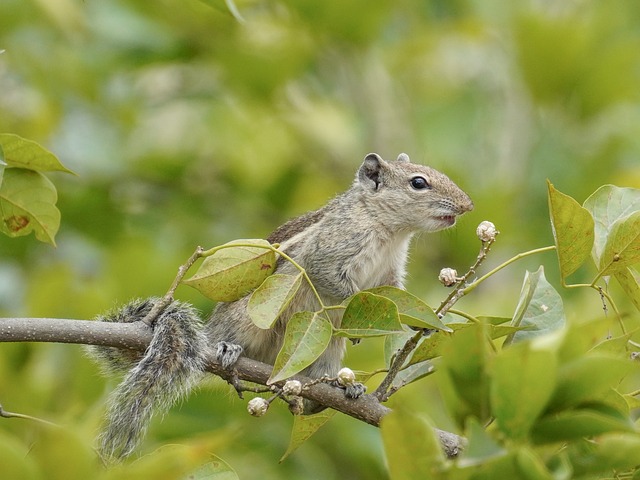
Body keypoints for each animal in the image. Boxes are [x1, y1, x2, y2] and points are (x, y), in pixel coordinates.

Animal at [87, 153, 472, 462]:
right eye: (418, 182)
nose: (467, 206)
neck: (390, 229)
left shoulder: (390, 274)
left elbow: (399, 296)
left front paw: (424, 323)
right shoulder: (330, 253)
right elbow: (337, 285)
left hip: (327, 349)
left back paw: (343, 389)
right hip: (248, 318)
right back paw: (226, 348)